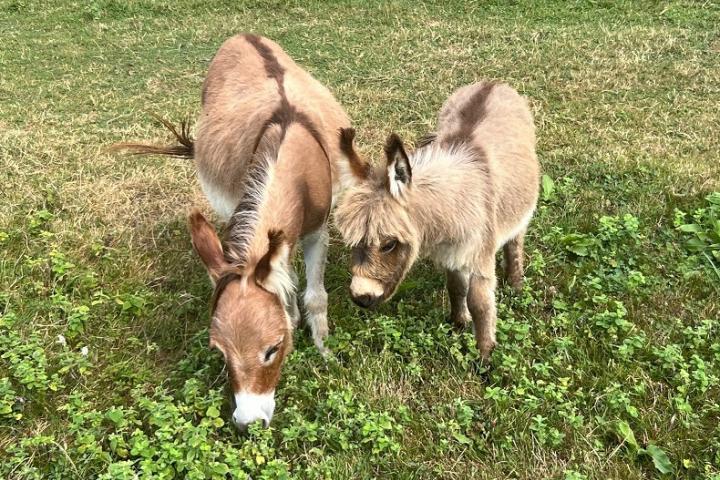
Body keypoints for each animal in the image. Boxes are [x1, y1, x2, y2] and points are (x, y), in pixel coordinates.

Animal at [334, 81, 536, 360]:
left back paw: (516, 284)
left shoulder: (480, 255)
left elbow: (480, 304)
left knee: (515, 241)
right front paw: (459, 323)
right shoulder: (450, 254)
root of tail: (492, 82)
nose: (360, 298)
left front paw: (484, 356)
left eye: (389, 244)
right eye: (352, 242)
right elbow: (456, 287)